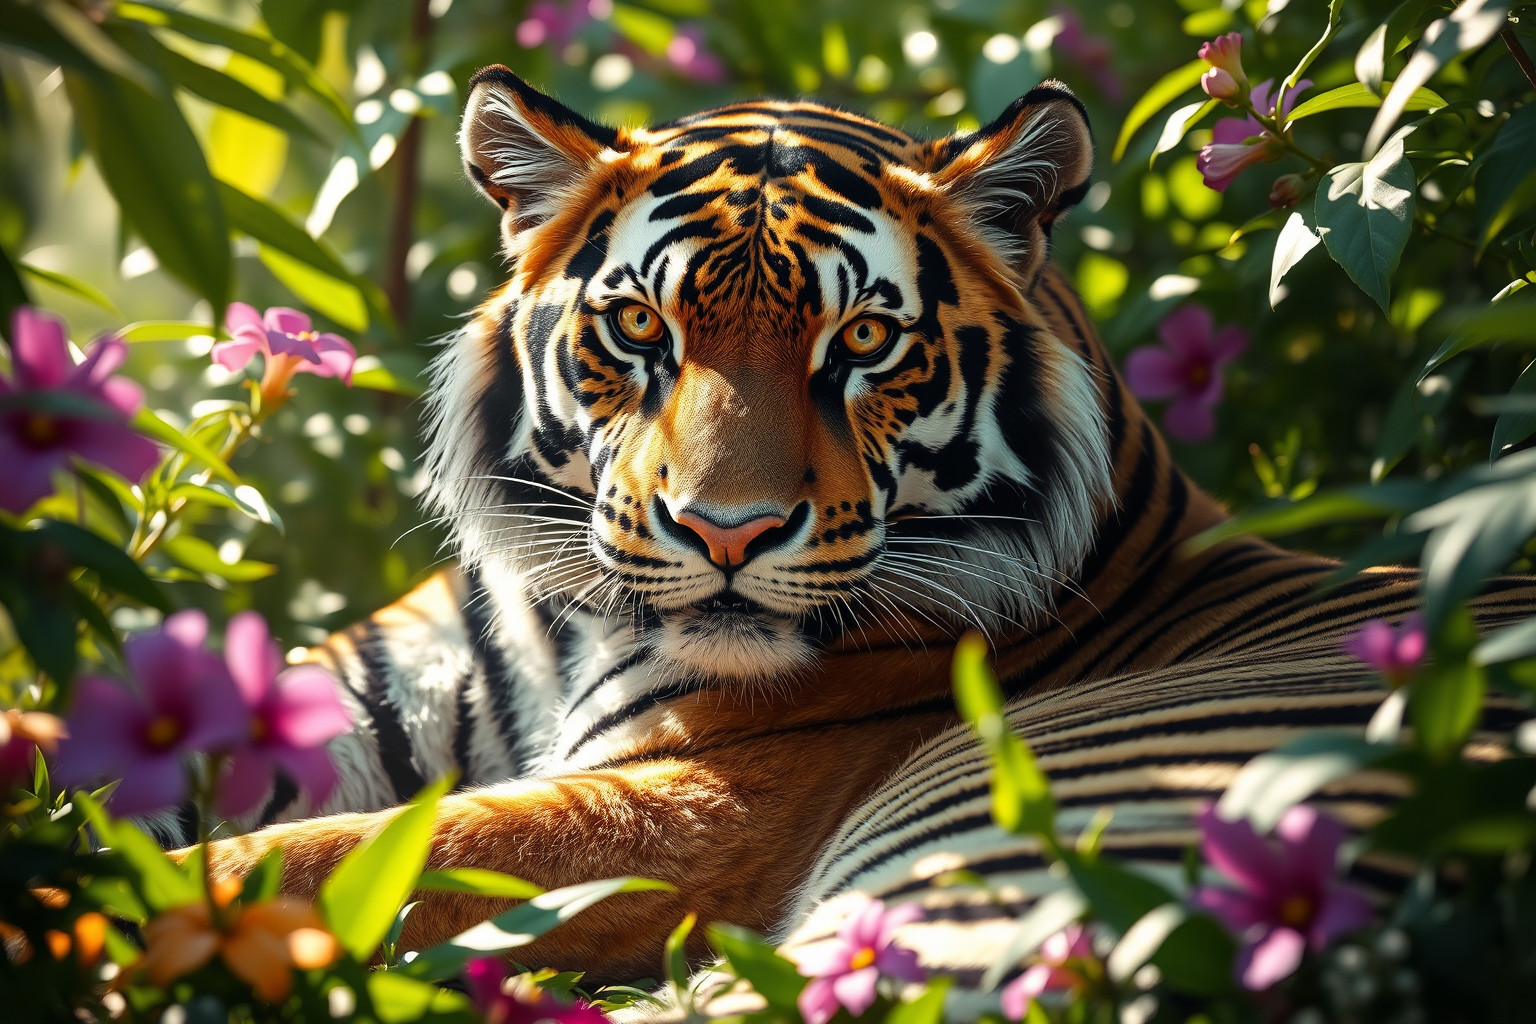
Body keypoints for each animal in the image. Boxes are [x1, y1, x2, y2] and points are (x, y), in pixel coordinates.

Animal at [187, 67, 1536, 1017]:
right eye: (640, 328)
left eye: (864, 343)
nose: (724, 530)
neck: (576, 625)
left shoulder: (698, 805)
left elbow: (333, 860)